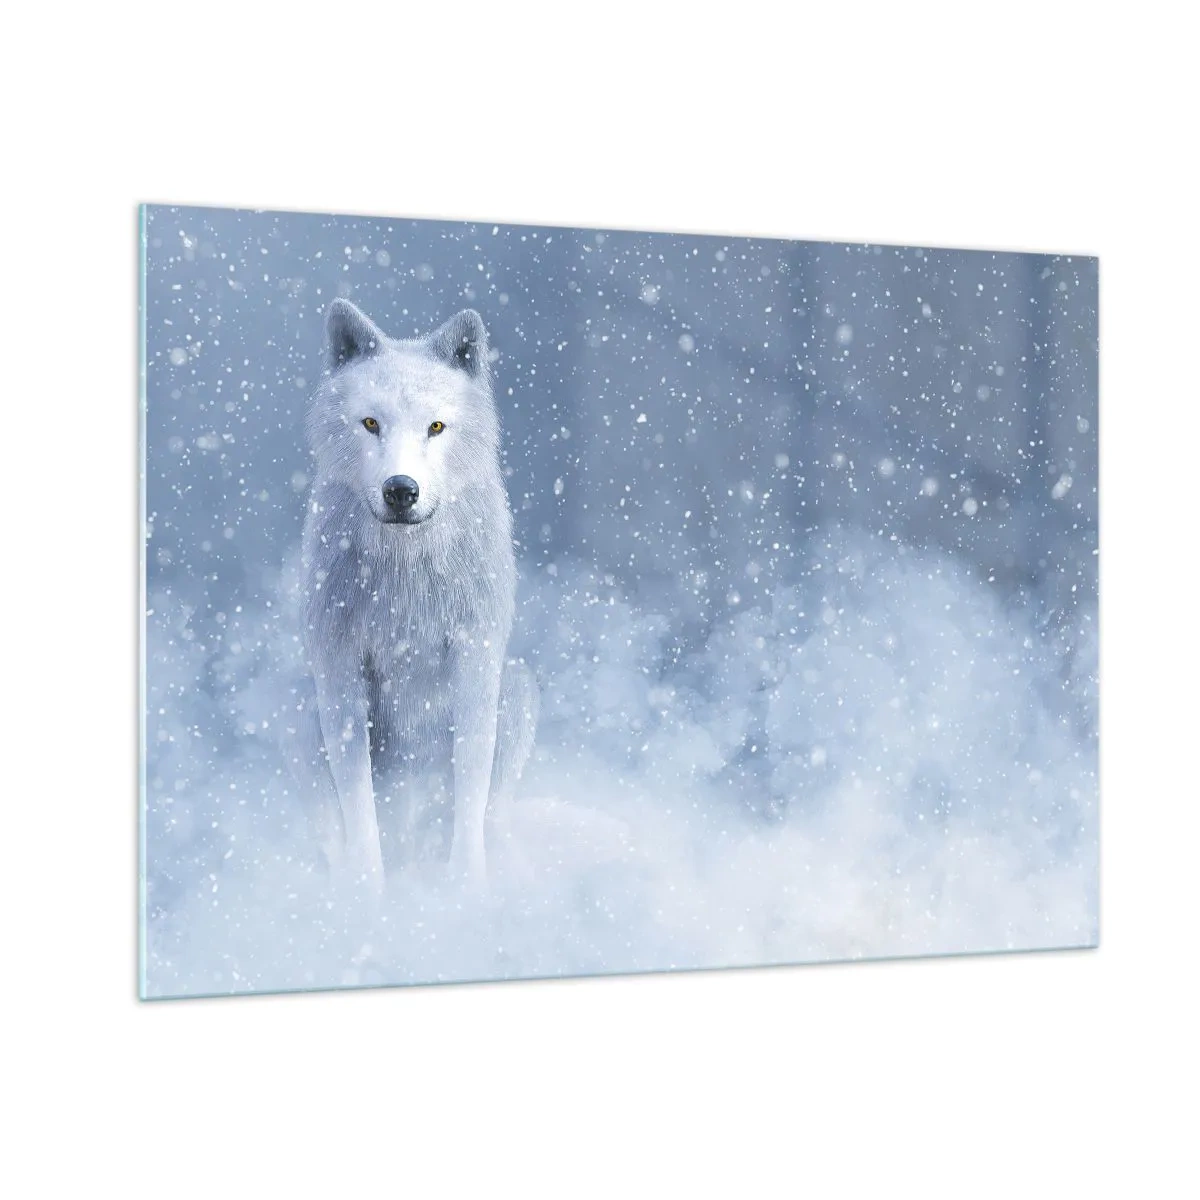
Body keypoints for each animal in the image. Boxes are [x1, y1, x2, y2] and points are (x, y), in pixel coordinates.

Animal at [294, 299, 537, 889]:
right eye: (371, 423)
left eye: (436, 426)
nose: (401, 490)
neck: (404, 577)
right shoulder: (339, 668)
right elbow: (359, 804)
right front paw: (367, 894)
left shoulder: (475, 662)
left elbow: (470, 788)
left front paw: (465, 890)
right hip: (303, 708)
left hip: (518, 689)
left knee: (489, 813)